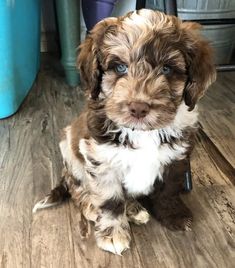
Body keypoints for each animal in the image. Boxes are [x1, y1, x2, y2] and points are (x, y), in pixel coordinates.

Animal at [33, 8, 217, 255]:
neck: (143, 132)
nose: (138, 107)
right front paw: (113, 234)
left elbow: (169, 190)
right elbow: (110, 199)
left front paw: (174, 214)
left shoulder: (176, 158)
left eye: (167, 69)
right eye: (120, 67)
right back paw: (96, 208)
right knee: (77, 190)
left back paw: (134, 210)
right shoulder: (100, 160)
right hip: (70, 153)